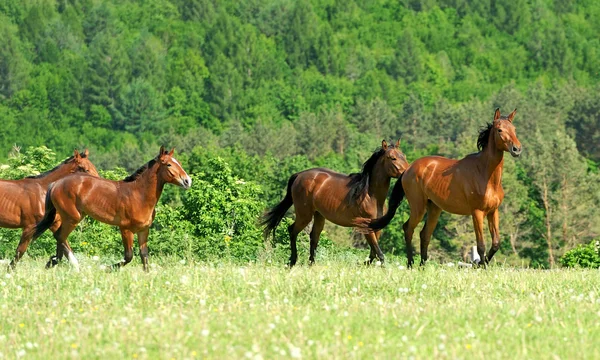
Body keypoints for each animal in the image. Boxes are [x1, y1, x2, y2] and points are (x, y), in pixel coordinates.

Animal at [31, 146, 191, 270]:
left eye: (179, 162)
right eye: (168, 164)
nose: (187, 181)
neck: (139, 195)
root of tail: (55, 184)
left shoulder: (143, 230)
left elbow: (144, 256)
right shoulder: (125, 229)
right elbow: (129, 256)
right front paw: (105, 268)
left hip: (74, 217)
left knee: (60, 236)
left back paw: (53, 262)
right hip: (72, 218)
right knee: (60, 236)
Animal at [260, 139, 410, 266]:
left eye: (404, 156)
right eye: (393, 158)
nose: (407, 173)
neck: (370, 195)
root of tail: (299, 175)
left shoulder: (375, 228)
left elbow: (374, 252)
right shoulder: (365, 227)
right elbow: (379, 253)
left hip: (319, 215)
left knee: (314, 237)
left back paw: (311, 264)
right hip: (304, 215)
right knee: (292, 231)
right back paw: (292, 261)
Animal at [356, 107, 520, 268]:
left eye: (514, 129)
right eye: (499, 130)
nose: (517, 149)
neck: (485, 174)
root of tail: (408, 170)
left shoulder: (493, 211)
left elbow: (496, 243)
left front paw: (480, 264)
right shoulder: (477, 213)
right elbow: (481, 246)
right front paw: (481, 266)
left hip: (434, 209)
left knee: (424, 234)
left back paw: (422, 265)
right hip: (418, 208)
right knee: (408, 229)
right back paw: (410, 263)